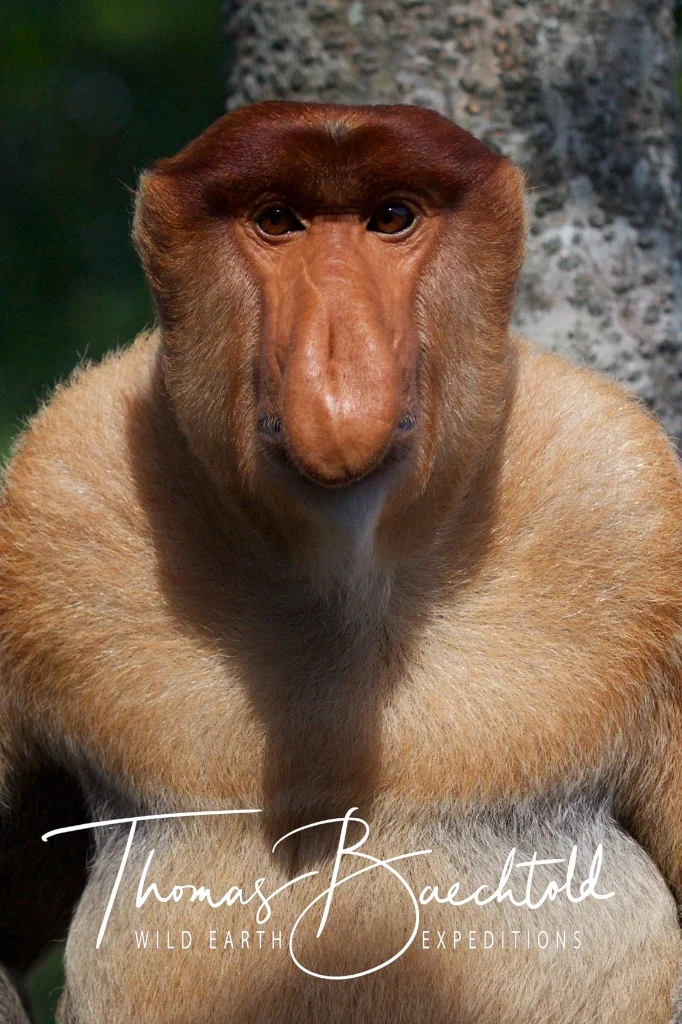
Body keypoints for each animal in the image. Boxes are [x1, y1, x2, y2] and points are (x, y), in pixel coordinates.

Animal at [1, 100, 682, 1023]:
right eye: (277, 221)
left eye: (391, 218)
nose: (335, 372)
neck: (346, 578)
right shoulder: (50, 500)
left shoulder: (636, 508)